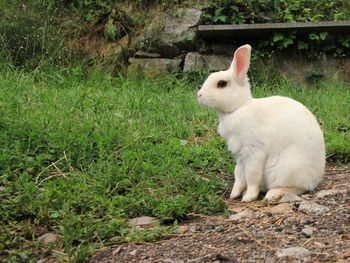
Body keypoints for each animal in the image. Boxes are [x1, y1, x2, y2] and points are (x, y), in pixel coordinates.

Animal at [197, 44, 326, 202]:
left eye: (222, 83)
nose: (199, 95)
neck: (239, 107)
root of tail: (315, 179)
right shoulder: (240, 156)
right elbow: (238, 174)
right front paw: (235, 194)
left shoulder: (254, 151)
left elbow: (252, 176)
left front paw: (248, 197)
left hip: (284, 171)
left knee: (298, 188)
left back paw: (272, 194)